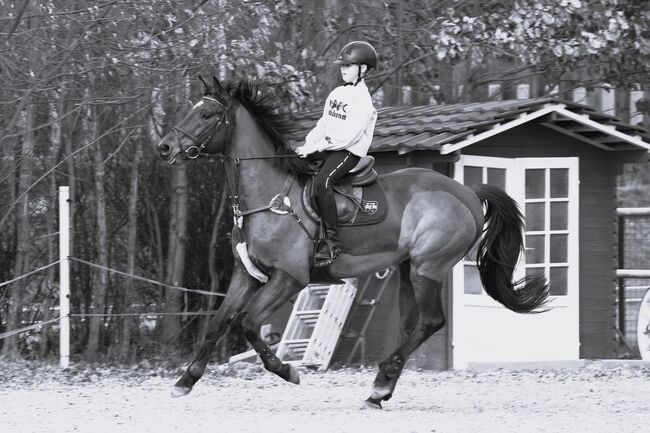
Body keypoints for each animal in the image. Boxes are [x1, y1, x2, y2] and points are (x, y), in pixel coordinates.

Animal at [157, 75, 548, 408]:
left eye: (207, 114)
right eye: (191, 109)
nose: (163, 147)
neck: (269, 196)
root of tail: (466, 192)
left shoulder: (289, 278)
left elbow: (249, 324)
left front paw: (288, 371)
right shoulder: (248, 275)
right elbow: (218, 323)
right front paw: (185, 381)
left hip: (429, 266)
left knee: (431, 322)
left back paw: (379, 383)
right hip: (407, 268)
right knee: (412, 324)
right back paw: (381, 391)